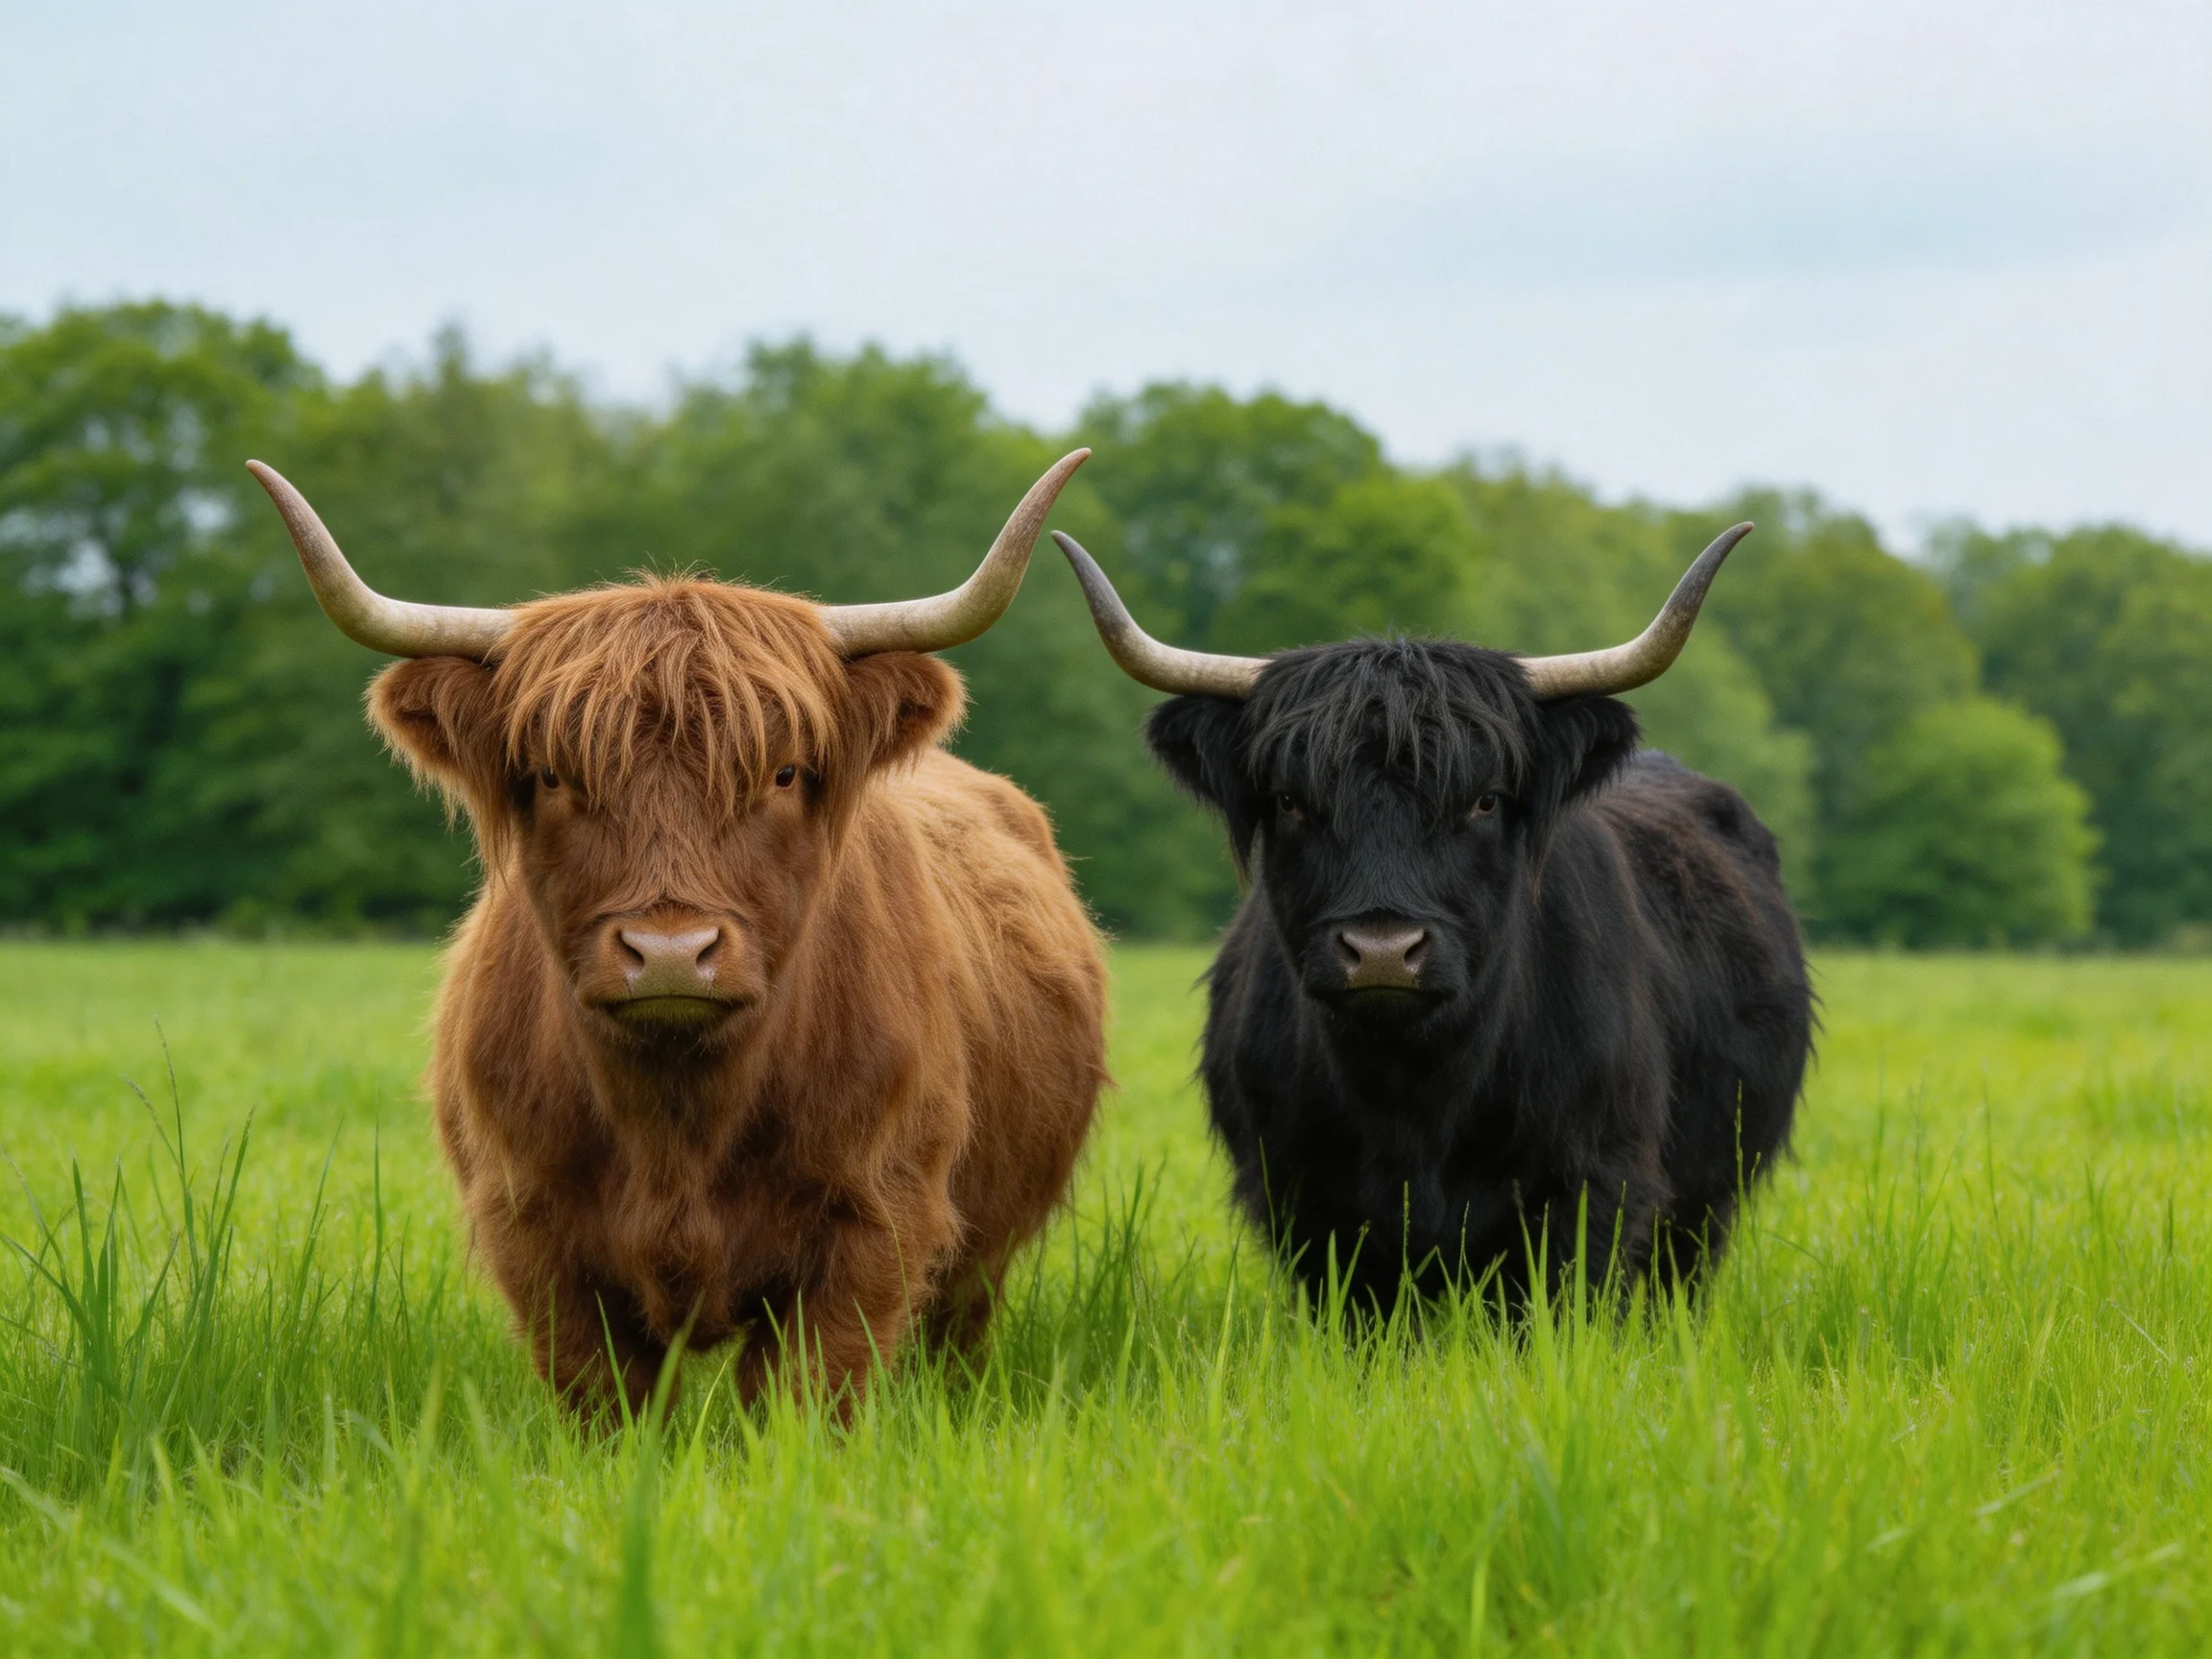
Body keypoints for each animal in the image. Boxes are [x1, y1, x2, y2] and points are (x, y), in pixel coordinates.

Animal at [249, 453, 1107, 1415]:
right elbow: (606, 1401)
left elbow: (804, 1398)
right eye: (552, 775)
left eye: (784, 773)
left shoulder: (876, 1219)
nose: (669, 954)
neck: (677, 1123)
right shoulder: (534, 1233)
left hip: (977, 1267)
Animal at [1052, 525, 1811, 1314]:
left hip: (1705, 1206)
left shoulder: (1595, 1184)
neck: (1415, 1092)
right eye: (1290, 800)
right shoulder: (1301, 1200)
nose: (1383, 950)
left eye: (1485, 799)